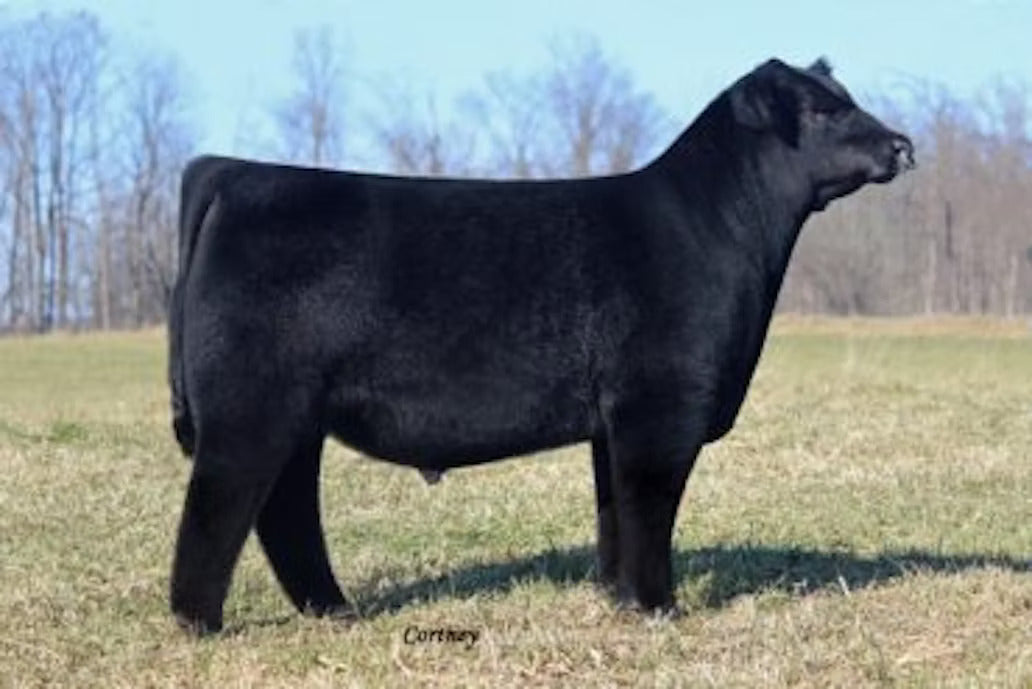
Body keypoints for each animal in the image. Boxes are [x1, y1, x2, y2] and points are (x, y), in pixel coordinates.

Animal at [168, 57, 914, 634]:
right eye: (820, 110)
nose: (902, 145)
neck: (717, 229)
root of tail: (232, 173)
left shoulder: (612, 421)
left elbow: (614, 511)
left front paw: (618, 597)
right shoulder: (662, 407)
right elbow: (651, 510)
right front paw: (659, 607)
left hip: (297, 419)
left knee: (285, 511)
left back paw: (333, 610)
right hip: (250, 410)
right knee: (219, 508)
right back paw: (201, 623)